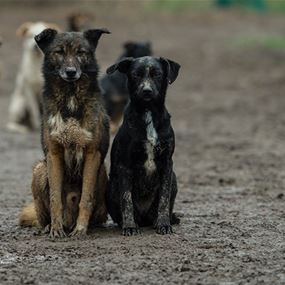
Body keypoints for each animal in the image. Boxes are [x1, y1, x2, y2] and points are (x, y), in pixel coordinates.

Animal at [18, 27, 110, 236]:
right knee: (42, 216)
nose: (70, 72)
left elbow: (86, 197)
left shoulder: (92, 154)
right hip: (40, 169)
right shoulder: (54, 154)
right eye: (59, 52)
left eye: (81, 52)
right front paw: (56, 229)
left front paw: (81, 228)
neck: (70, 97)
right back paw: (49, 226)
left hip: (102, 172)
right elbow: (55, 198)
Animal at [105, 55, 181, 235]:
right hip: (111, 186)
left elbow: (163, 199)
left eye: (157, 74)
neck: (148, 113)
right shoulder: (125, 166)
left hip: (174, 178)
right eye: (136, 75)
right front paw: (129, 226)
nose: (146, 91)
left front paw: (163, 224)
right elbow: (126, 200)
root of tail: (145, 218)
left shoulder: (167, 164)